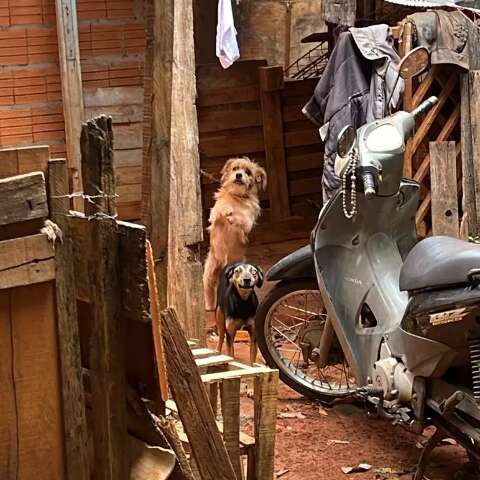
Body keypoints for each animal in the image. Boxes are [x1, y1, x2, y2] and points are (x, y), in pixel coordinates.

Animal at [203, 156, 268, 328]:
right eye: (235, 169)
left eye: (248, 172)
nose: (239, 175)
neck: (237, 198)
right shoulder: (215, 217)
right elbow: (218, 211)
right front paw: (226, 210)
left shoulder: (247, 223)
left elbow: (242, 219)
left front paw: (234, 216)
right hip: (209, 272)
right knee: (209, 293)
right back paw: (209, 309)